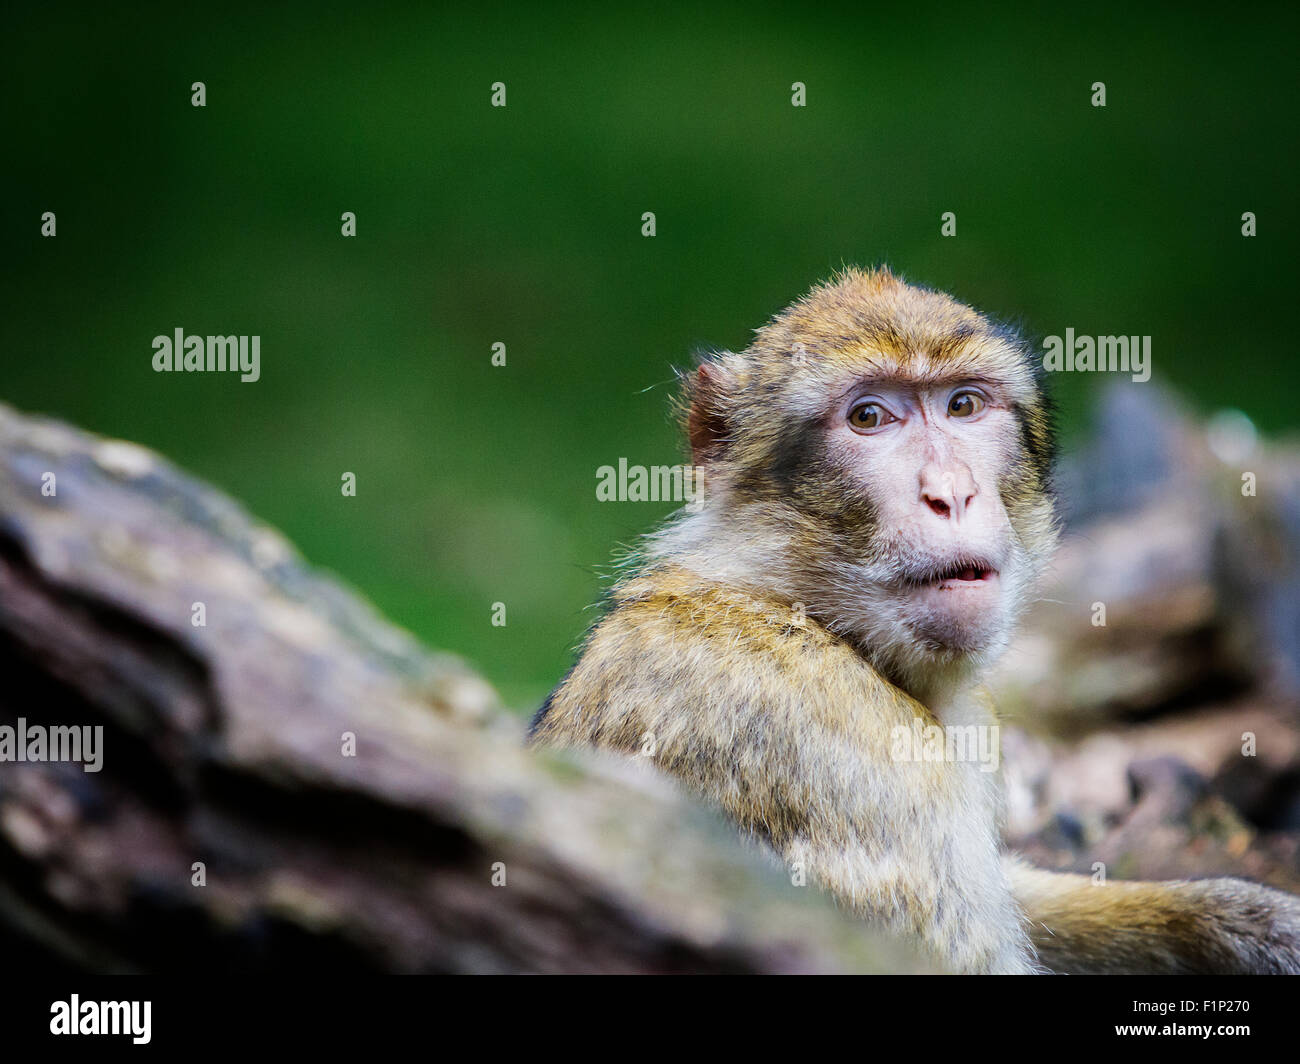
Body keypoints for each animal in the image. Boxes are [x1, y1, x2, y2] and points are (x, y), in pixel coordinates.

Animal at [528, 266, 1300, 974]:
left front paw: (1247, 921)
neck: (805, 614)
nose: (952, 492)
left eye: (963, 404)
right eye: (869, 417)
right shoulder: (824, 738)